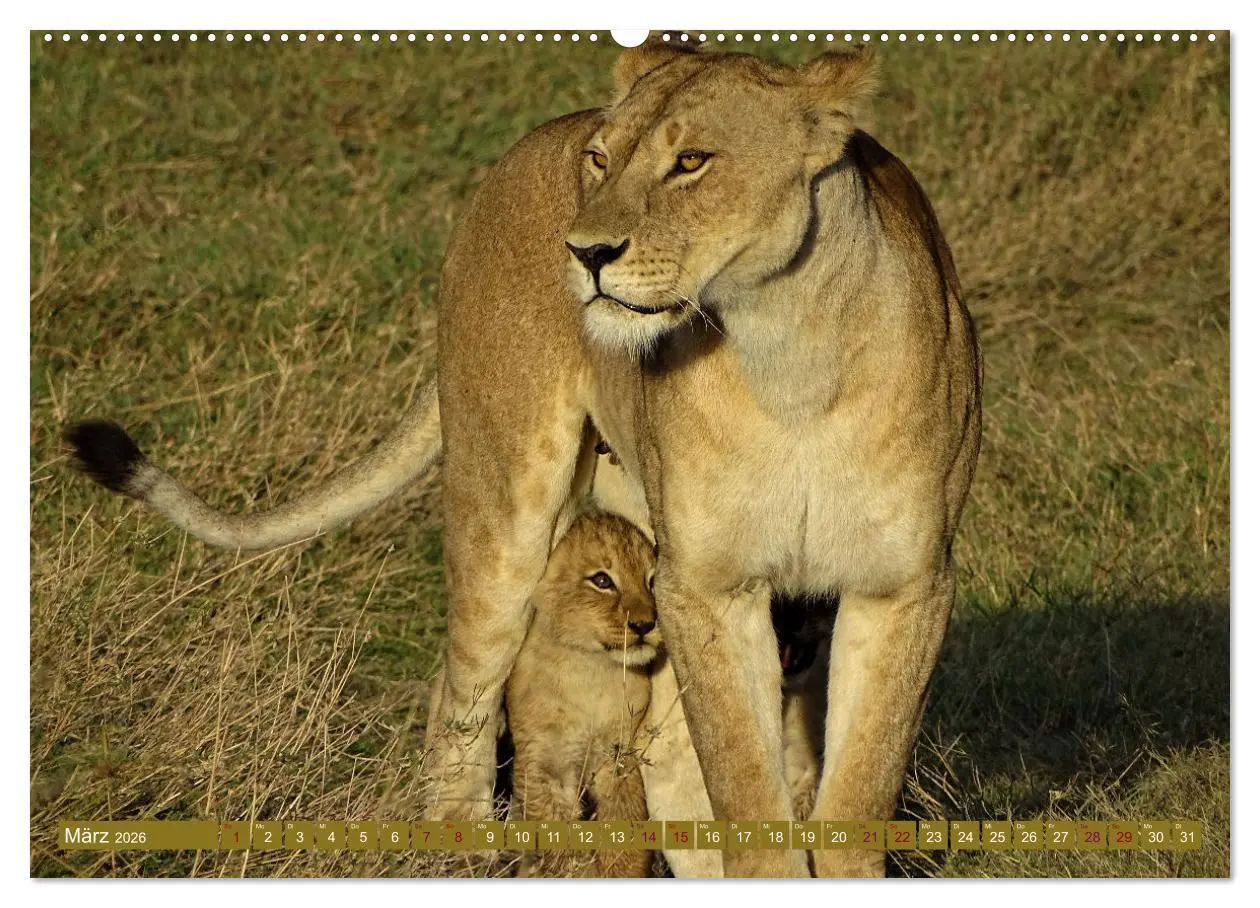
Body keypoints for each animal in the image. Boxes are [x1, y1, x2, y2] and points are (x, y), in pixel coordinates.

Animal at [65, 42, 981, 877]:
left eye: (691, 161)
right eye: (602, 160)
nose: (585, 252)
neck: (790, 355)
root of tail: (512, 158)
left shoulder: (902, 585)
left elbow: (854, 792)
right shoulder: (709, 587)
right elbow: (747, 785)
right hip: (505, 510)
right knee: (462, 692)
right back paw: (462, 852)